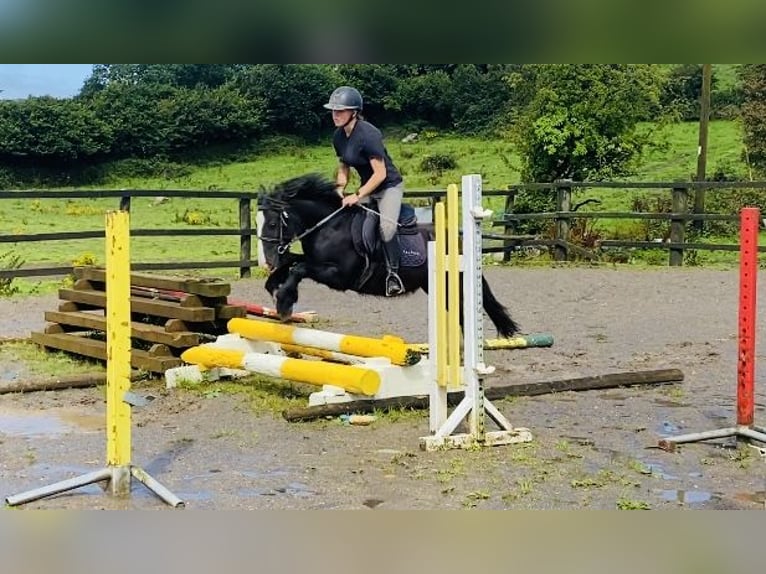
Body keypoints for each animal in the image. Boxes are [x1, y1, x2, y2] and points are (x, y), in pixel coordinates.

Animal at [260, 173, 520, 340]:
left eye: (272, 223)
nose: (268, 261)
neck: (329, 225)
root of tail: (458, 239)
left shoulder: (339, 276)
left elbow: (299, 268)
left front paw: (284, 302)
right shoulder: (315, 262)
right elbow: (294, 261)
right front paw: (273, 285)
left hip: (452, 281)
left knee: (464, 313)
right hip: (435, 285)